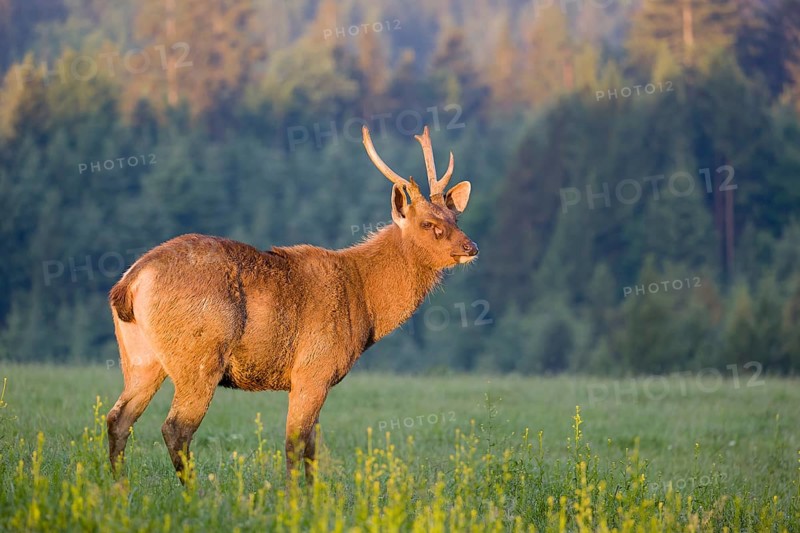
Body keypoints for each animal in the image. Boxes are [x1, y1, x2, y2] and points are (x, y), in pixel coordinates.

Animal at [105, 125, 478, 484]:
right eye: (428, 224)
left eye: (455, 219)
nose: (471, 247)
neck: (363, 298)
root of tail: (130, 283)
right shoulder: (314, 367)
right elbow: (294, 443)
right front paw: (292, 495)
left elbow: (312, 448)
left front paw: (315, 495)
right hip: (199, 355)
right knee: (176, 428)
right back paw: (196, 493)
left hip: (140, 357)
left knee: (117, 418)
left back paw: (120, 486)